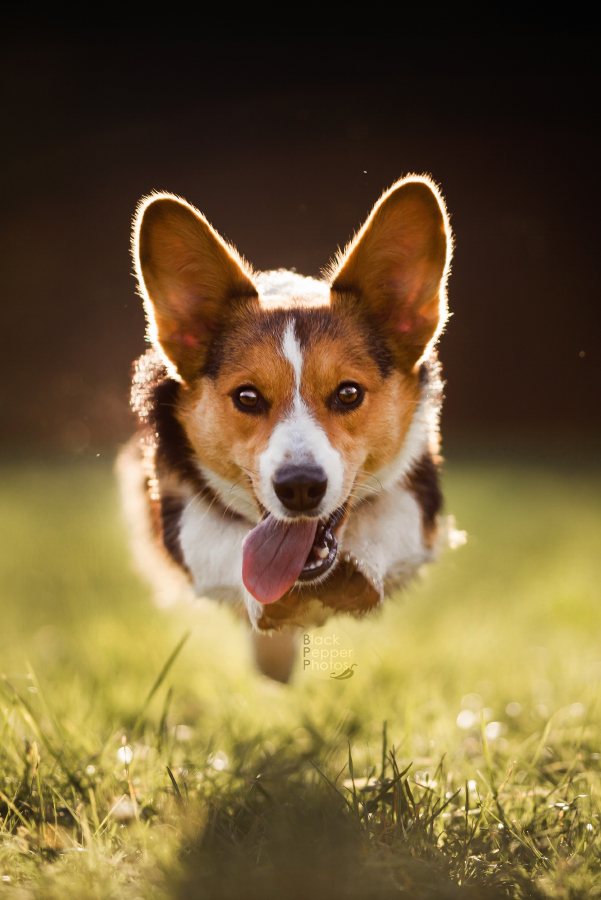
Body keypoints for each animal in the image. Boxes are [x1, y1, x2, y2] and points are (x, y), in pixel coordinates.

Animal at [117, 178, 454, 684]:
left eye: (348, 393)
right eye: (247, 397)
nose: (299, 488)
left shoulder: (418, 495)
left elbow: (388, 522)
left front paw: (357, 576)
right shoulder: (174, 500)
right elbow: (221, 546)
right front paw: (269, 613)